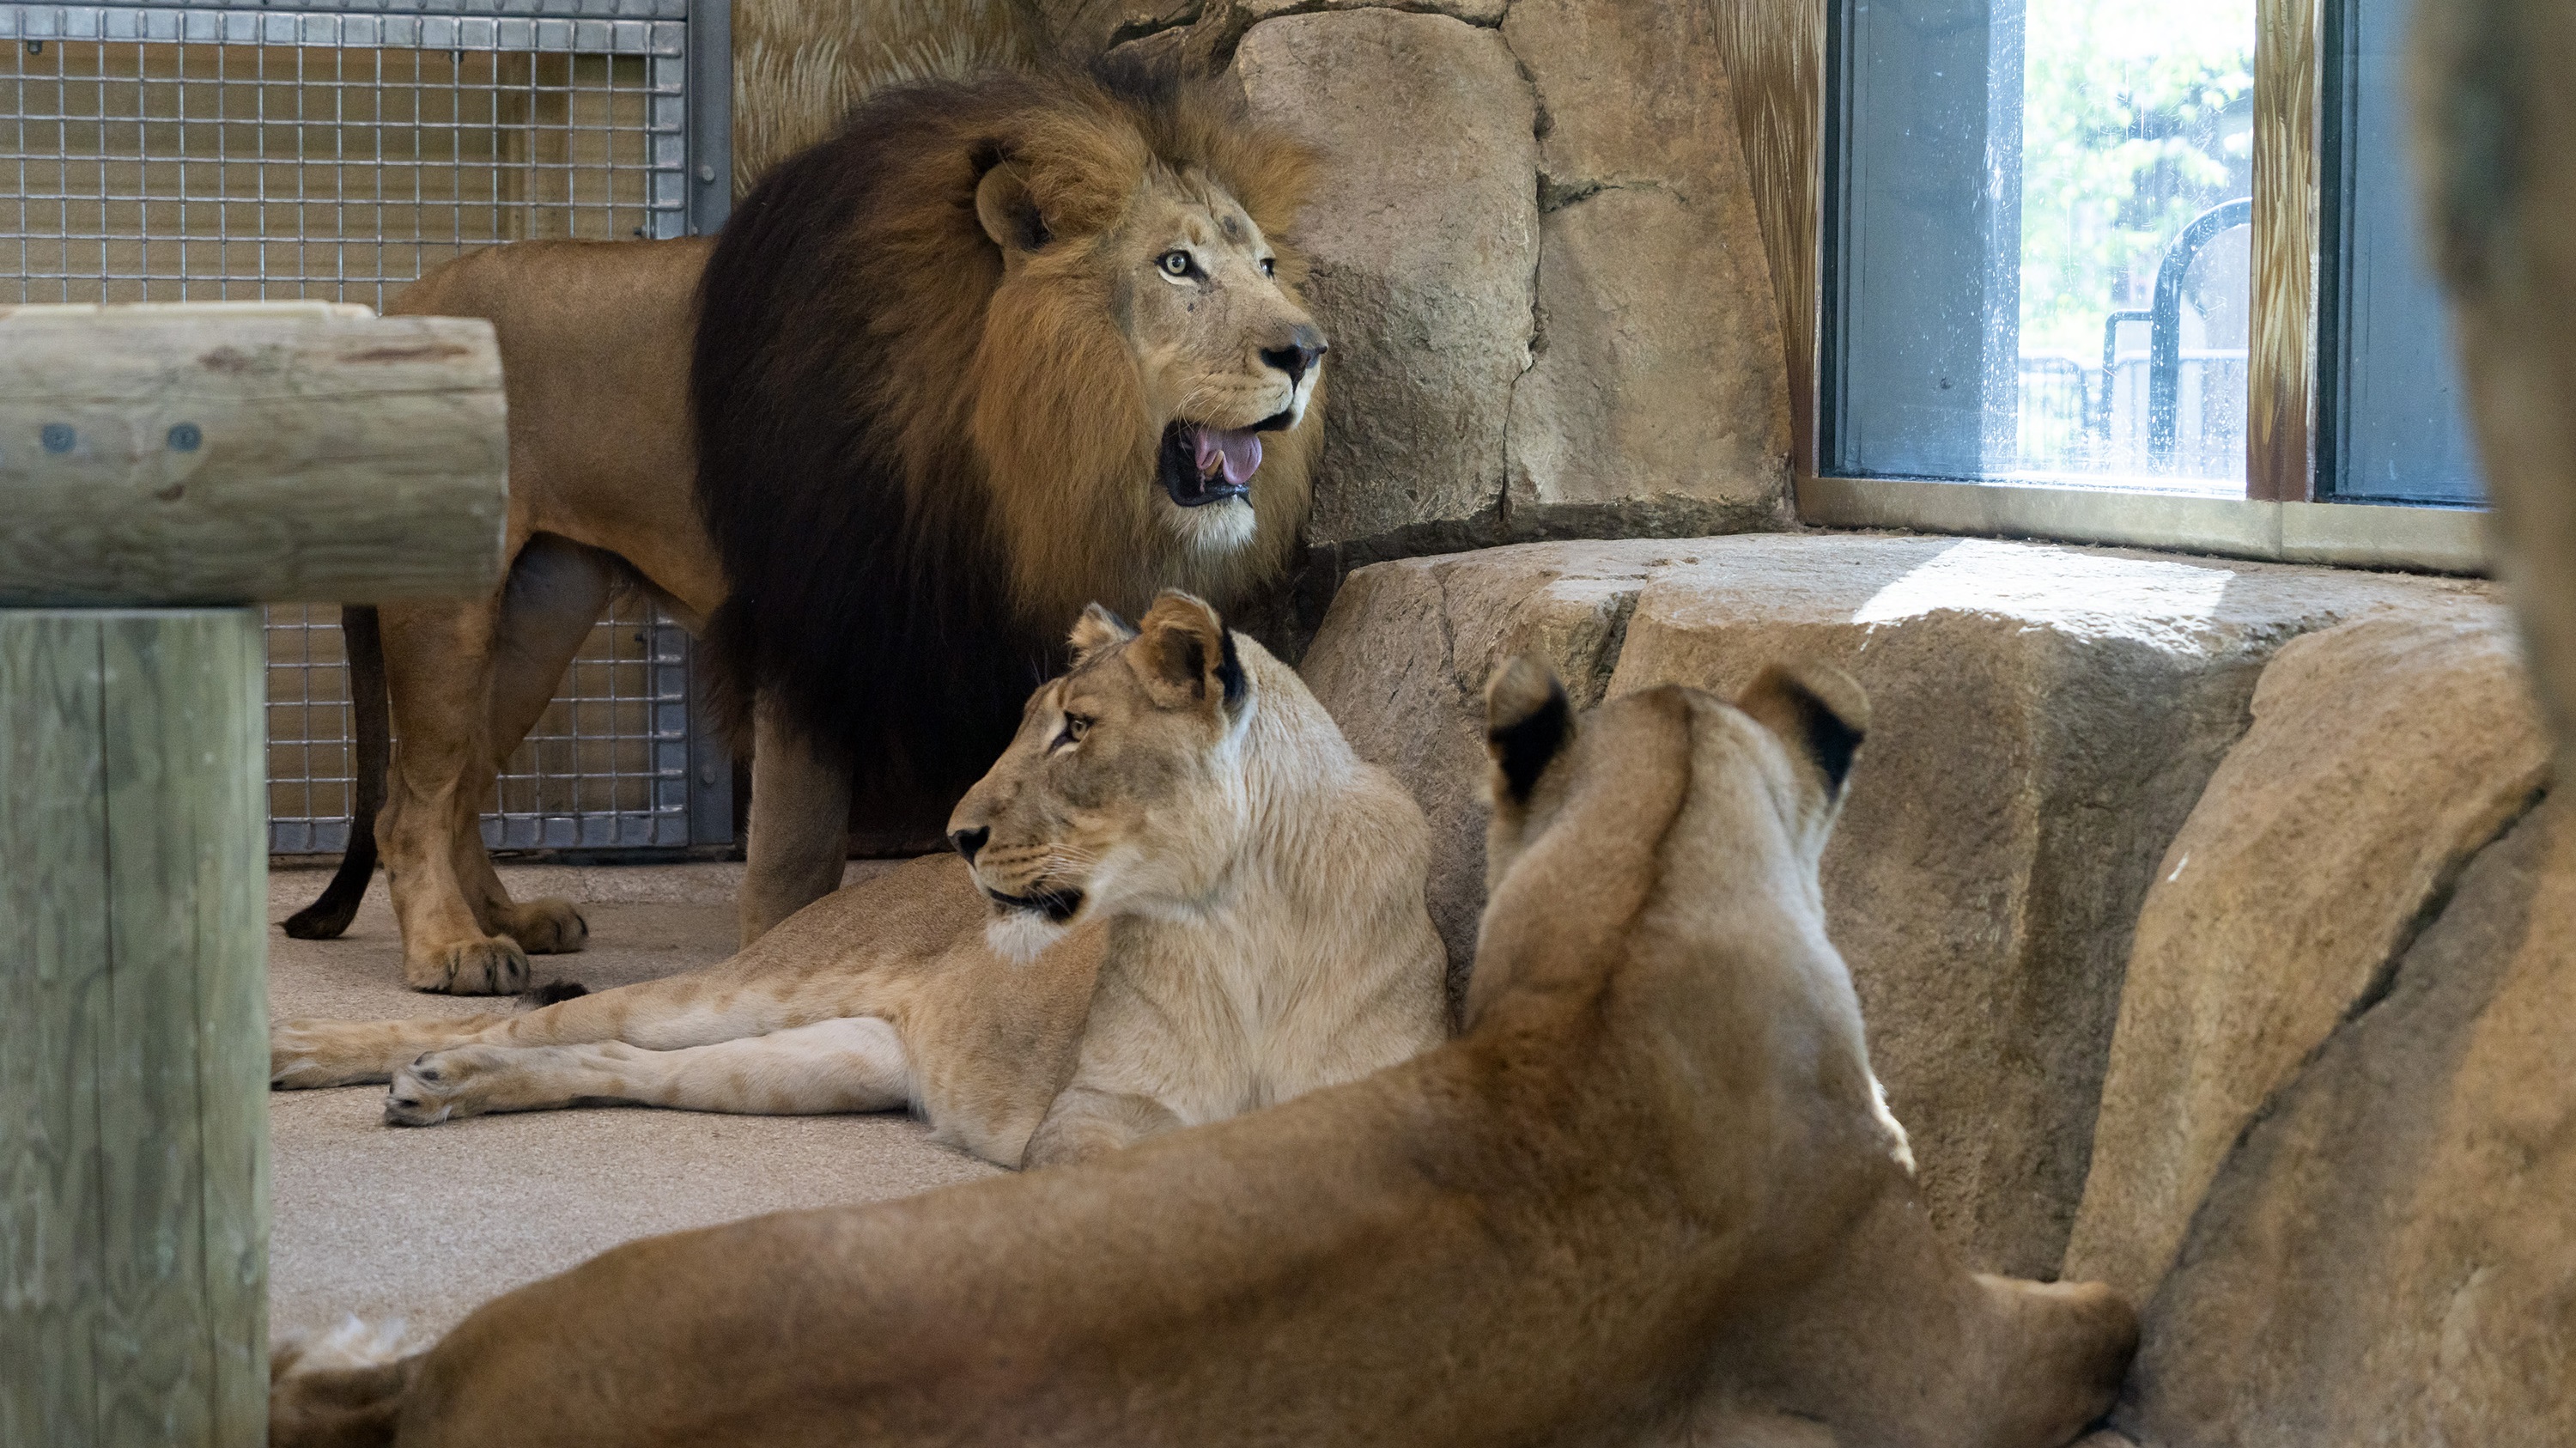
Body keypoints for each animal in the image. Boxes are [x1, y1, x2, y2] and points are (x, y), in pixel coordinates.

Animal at [284, 593, 1463, 1165]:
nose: (958, 833)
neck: (1240, 919)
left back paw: (444, 1088)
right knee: (535, 1019)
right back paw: (335, 1057)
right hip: (758, 985)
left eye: (1077, 730)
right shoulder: (1089, 1117)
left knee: (614, 1058)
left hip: (823, 1059)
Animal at [287, 64, 1329, 989]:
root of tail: (398, 304)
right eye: (1177, 265)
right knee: (413, 802)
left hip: (544, 608)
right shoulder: (810, 628)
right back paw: (451, 950)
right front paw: (785, 958)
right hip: (447, 612)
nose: (1309, 350)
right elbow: (794, 861)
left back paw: (510, 919)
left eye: (1266, 266)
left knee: (463, 782)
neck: (1010, 447)